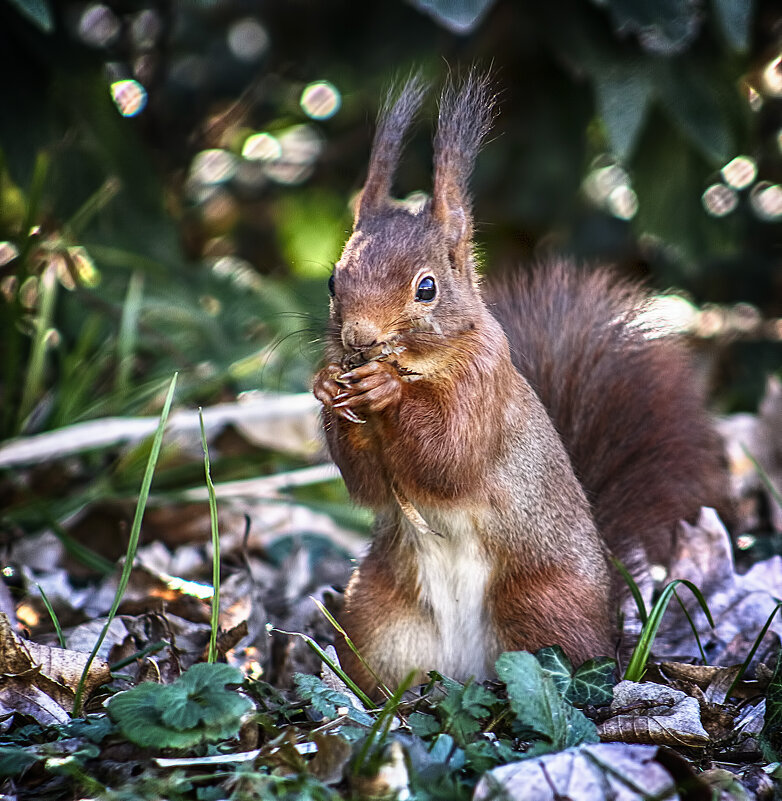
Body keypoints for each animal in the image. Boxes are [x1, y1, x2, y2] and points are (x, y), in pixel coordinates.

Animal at [310, 73, 728, 692]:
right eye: (333, 283)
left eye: (427, 288)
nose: (359, 340)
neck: (425, 365)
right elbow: (369, 485)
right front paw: (326, 386)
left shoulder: (485, 387)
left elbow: (449, 457)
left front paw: (386, 391)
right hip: (377, 617)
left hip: (540, 607)